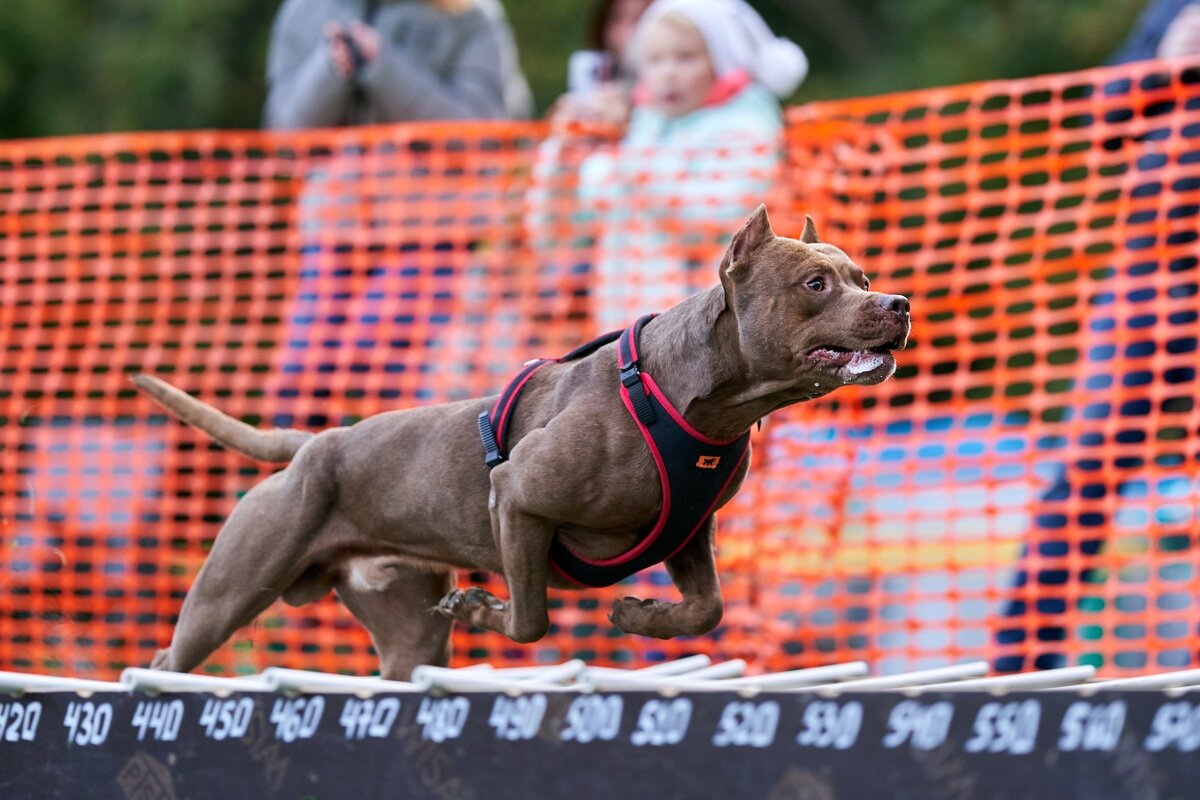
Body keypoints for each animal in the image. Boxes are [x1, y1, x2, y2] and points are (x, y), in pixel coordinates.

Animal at [131, 205, 907, 676]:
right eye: (815, 283)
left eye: (863, 276)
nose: (898, 303)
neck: (705, 405)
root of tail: (312, 445)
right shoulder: (519, 498)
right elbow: (530, 619)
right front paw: (487, 609)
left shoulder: (688, 531)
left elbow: (708, 608)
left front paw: (640, 614)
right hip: (229, 593)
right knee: (163, 665)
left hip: (409, 634)